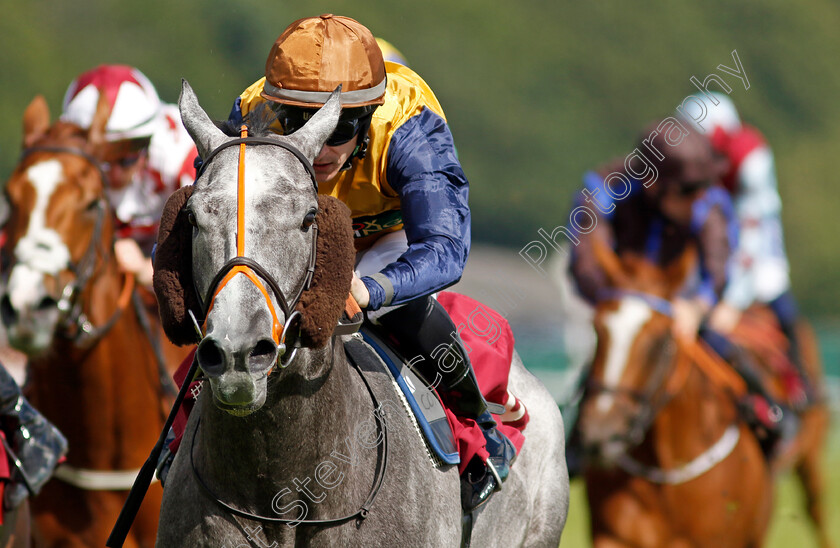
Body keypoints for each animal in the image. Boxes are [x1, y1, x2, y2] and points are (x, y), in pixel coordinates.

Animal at [580, 246, 832, 548]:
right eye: (596, 329)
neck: (666, 472)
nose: (600, 433)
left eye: (662, 340)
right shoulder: (613, 536)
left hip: (810, 456)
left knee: (816, 509)